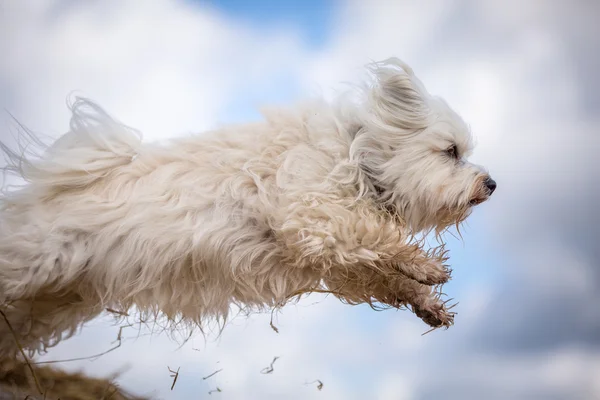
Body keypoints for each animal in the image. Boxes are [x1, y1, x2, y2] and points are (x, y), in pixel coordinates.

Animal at [0, 58, 494, 356]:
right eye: (451, 151)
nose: (491, 183)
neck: (356, 157)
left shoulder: (334, 259)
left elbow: (384, 275)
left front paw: (428, 304)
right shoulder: (312, 218)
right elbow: (376, 235)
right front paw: (428, 266)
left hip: (52, 302)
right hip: (30, 269)